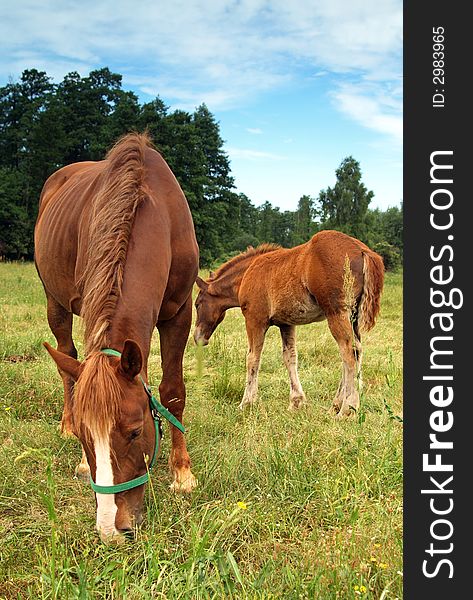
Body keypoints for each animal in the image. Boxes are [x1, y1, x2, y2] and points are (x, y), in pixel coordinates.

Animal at [34, 132, 197, 544]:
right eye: (84, 436)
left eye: (136, 431)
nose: (112, 527)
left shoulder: (179, 313)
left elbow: (173, 391)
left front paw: (182, 473)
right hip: (54, 302)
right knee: (67, 359)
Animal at [194, 230, 382, 418]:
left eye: (197, 304)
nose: (197, 338)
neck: (247, 273)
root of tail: (363, 250)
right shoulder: (286, 323)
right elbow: (290, 357)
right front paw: (296, 402)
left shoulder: (255, 319)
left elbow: (252, 358)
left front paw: (246, 403)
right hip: (353, 317)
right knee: (356, 351)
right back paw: (335, 406)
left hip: (336, 313)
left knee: (348, 352)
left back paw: (346, 409)